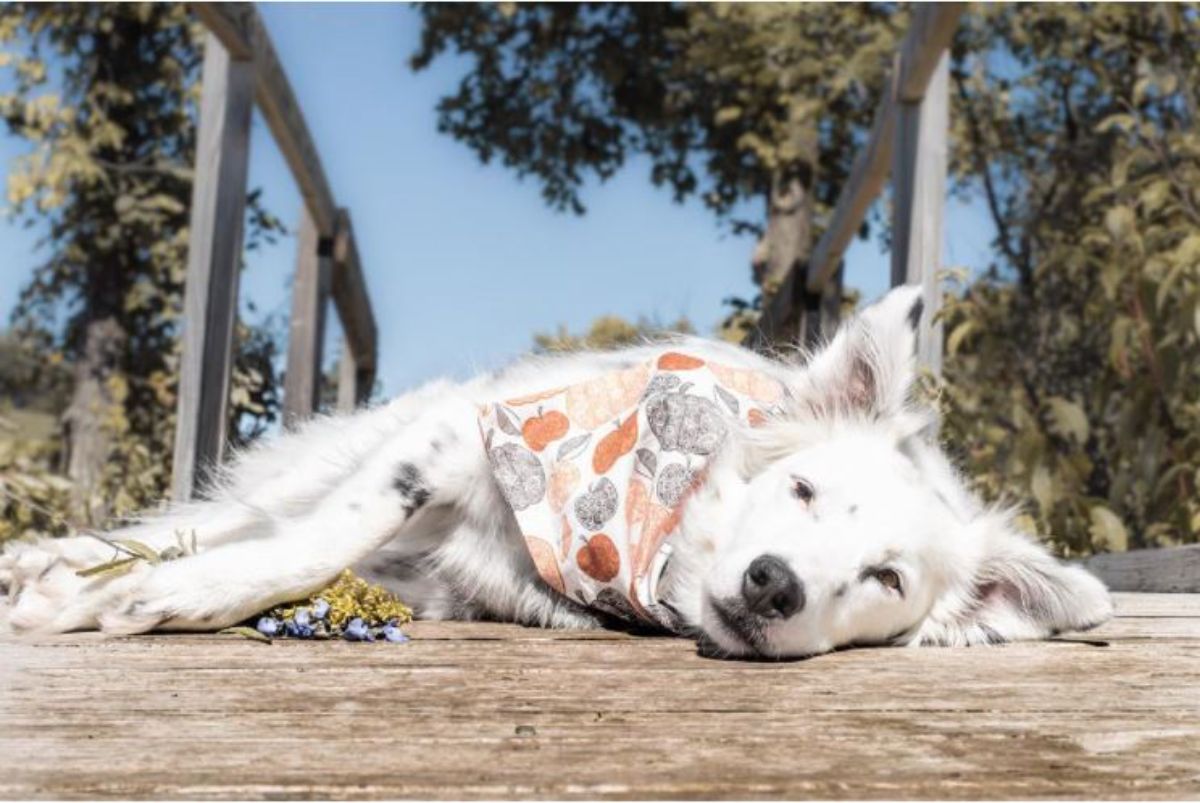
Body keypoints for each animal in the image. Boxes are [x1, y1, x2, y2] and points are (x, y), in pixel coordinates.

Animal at [0, 288, 1113, 657]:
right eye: (801, 493)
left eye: (884, 577)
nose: (774, 585)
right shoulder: (457, 435)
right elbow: (320, 537)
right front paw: (176, 597)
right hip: (330, 455)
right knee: (196, 523)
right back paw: (56, 569)